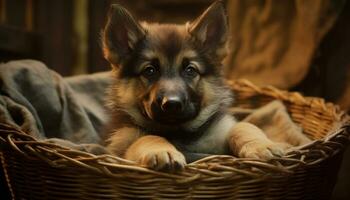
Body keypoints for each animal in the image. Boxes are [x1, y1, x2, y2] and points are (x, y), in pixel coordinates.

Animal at [102, 0, 296, 171]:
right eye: (149, 71)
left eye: (190, 70)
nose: (172, 104)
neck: (179, 132)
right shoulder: (121, 146)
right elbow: (148, 137)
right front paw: (162, 150)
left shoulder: (222, 128)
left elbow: (243, 126)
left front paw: (261, 145)